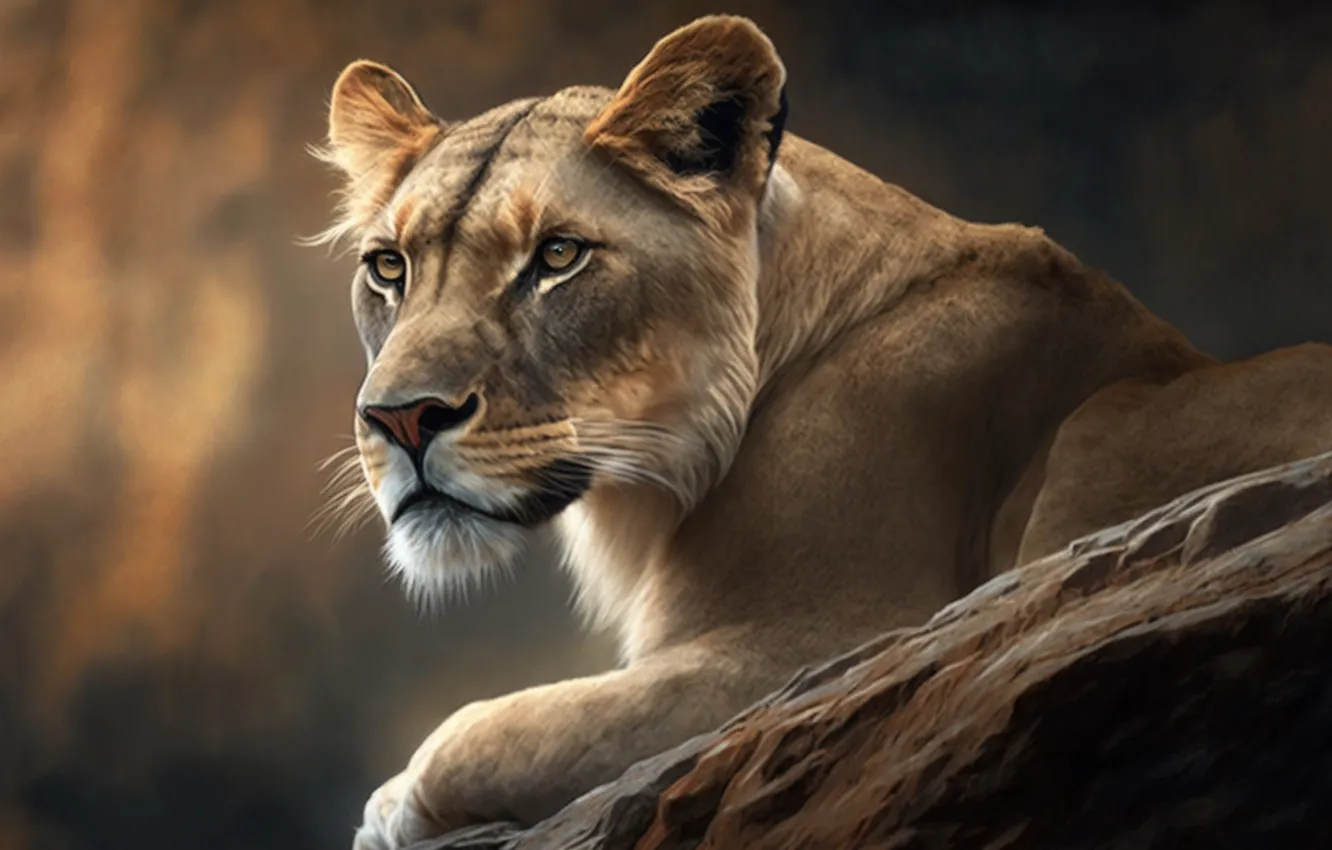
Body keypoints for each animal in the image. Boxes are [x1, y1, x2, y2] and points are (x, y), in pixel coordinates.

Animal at [310, 15, 1332, 848]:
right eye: (389, 268)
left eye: (558, 256)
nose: (399, 416)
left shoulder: (826, 645)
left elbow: (485, 729)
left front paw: (391, 807)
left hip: (1098, 434)